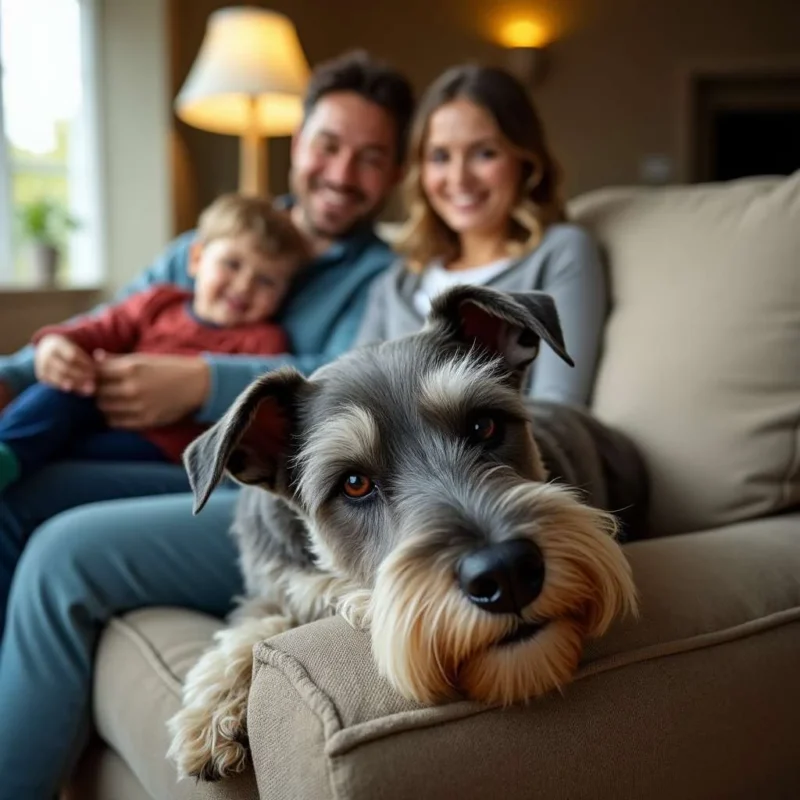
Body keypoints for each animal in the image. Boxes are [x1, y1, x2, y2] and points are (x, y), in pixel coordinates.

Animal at [167, 286, 644, 780]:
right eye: (353, 483)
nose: (506, 573)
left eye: (484, 424)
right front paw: (213, 713)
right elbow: (255, 627)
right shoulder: (269, 588)